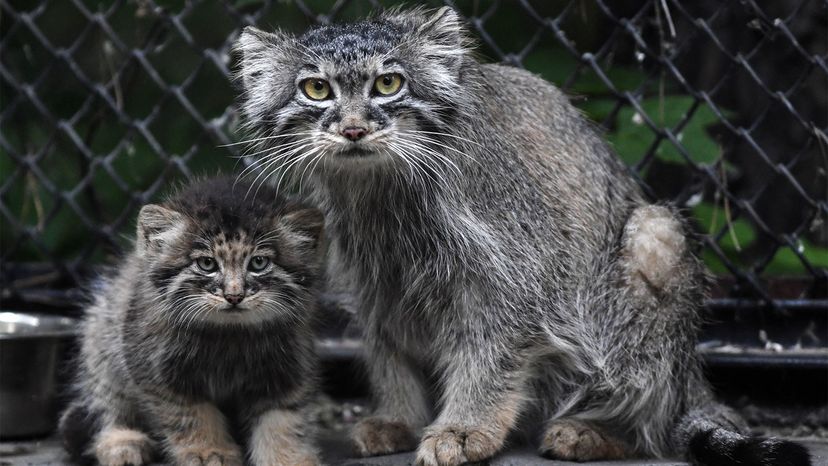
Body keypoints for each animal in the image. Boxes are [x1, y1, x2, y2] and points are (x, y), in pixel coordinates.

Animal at [58, 177, 322, 466]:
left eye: (259, 263)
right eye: (207, 264)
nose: (234, 295)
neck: (230, 336)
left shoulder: (289, 368)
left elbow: (283, 419)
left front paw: (287, 458)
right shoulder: (155, 368)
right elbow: (192, 416)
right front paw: (209, 451)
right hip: (101, 335)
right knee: (102, 403)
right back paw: (122, 442)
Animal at [234, 6, 808, 466]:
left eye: (388, 84)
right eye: (316, 89)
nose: (353, 129)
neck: (381, 192)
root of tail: (694, 378)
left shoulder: (516, 274)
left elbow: (490, 355)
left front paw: (465, 427)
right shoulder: (377, 277)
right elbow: (388, 351)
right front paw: (400, 417)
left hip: (655, 235)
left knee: (652, 402)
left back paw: (600, 430)